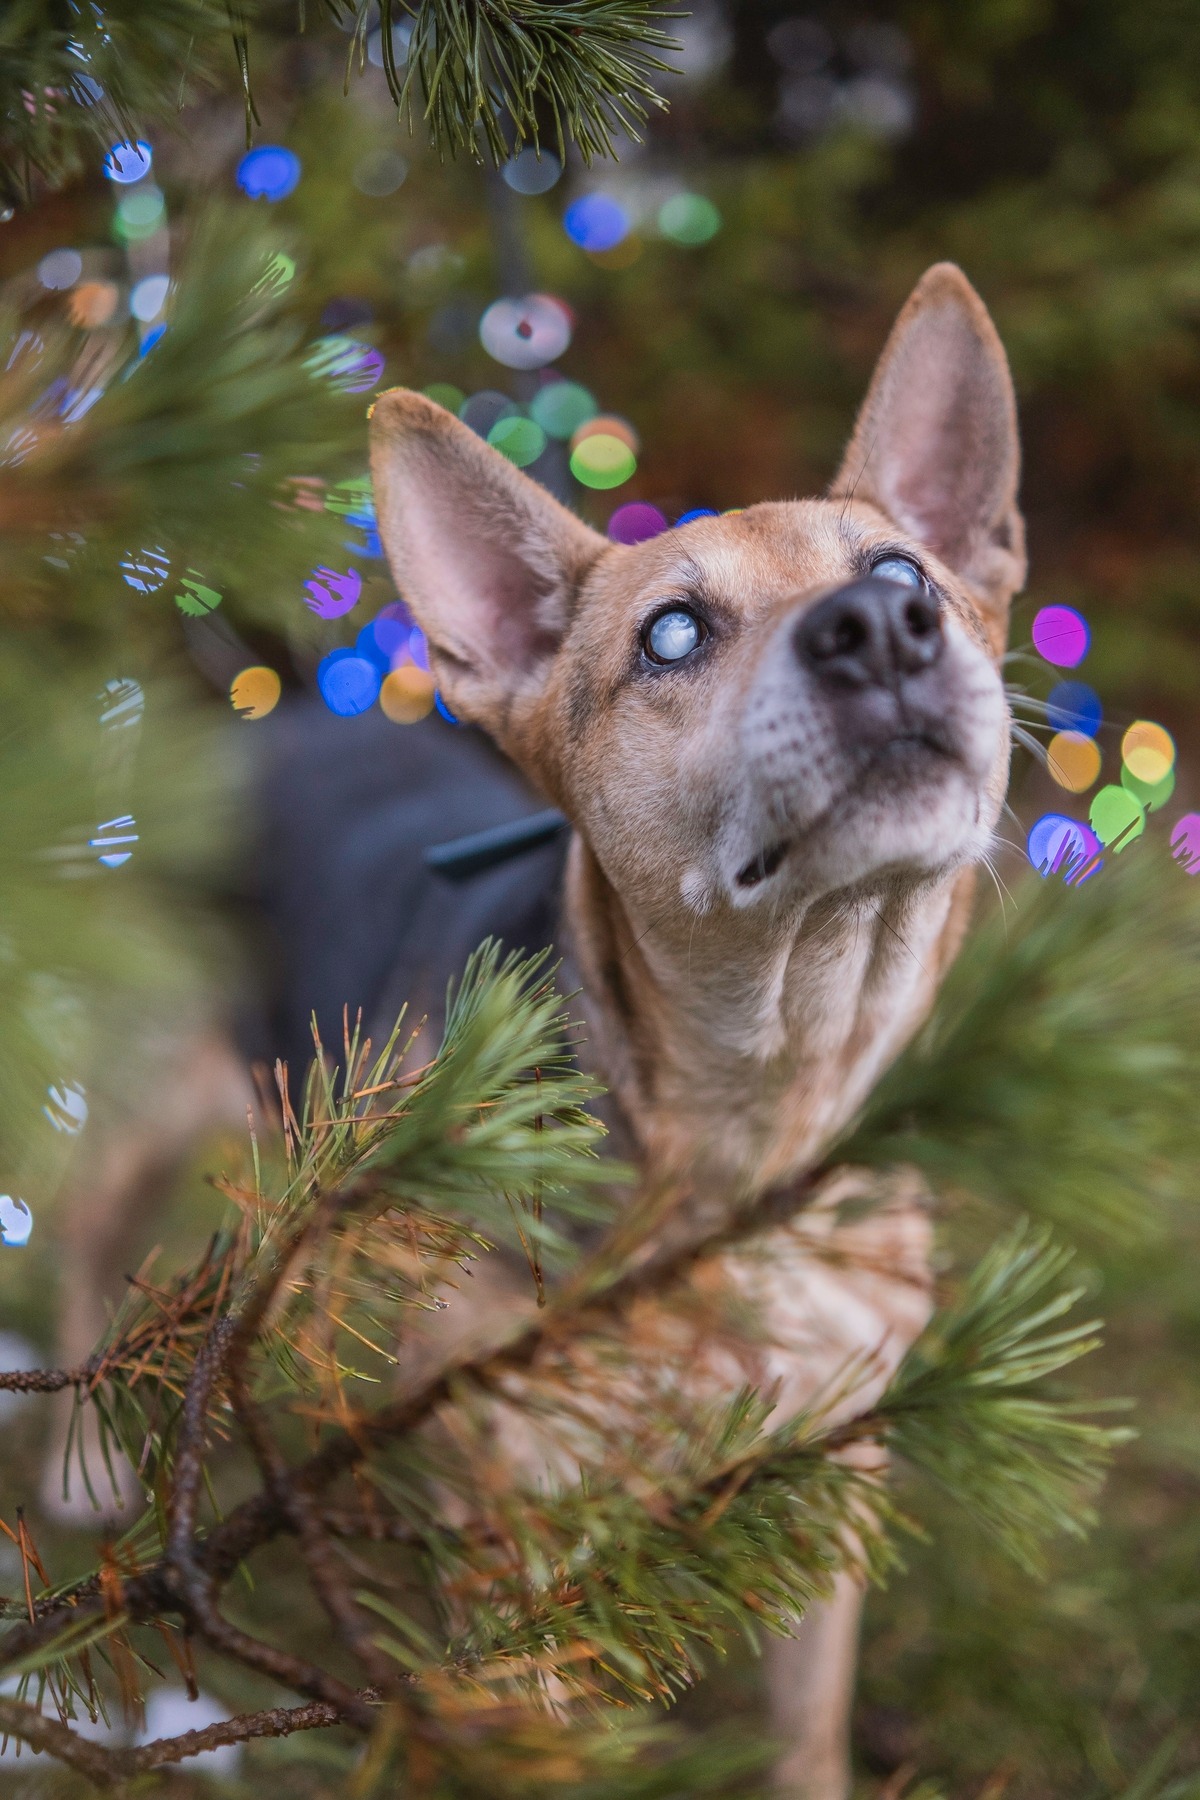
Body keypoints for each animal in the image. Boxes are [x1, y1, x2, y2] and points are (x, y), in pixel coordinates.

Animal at [47, 266, 1021, 1800]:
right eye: (671, 634)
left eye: (906, 574)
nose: (877, 629)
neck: (754, 1116)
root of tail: (246, 726)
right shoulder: (518, 1548)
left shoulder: (827, 1473)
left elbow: (804, 1732)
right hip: (146, 1086)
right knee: (88, 1256)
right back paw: (81, 1473)